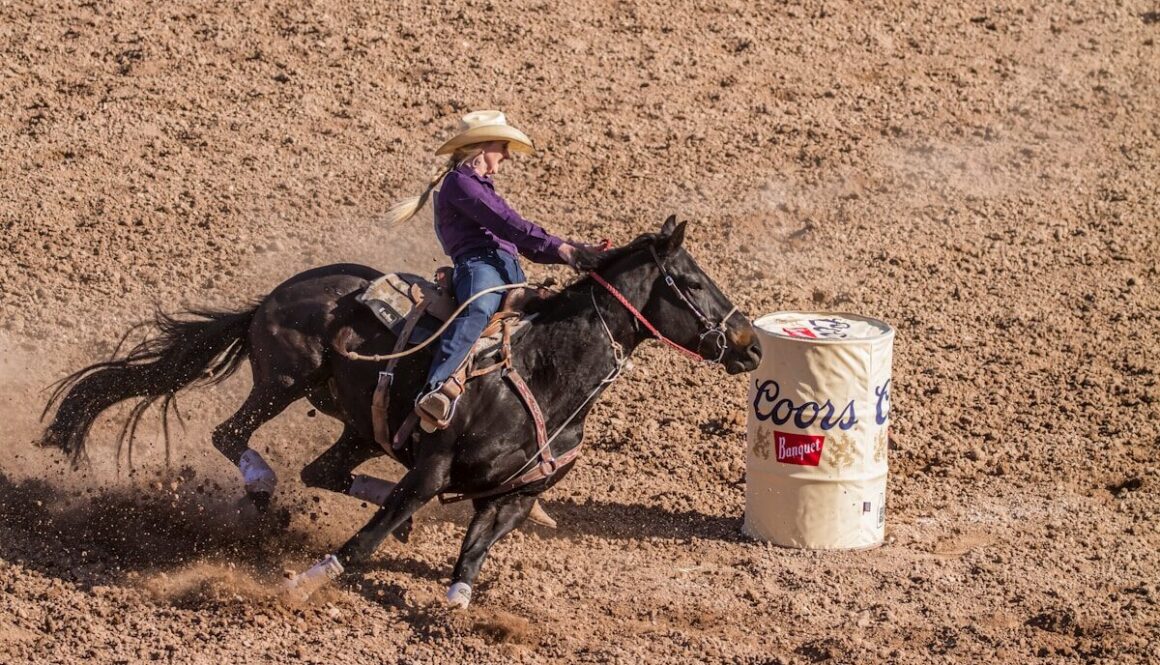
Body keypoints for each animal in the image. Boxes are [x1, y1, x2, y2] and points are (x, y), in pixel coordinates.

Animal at [39, 216, 762, 607]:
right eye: (690, 282)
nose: (751, 343)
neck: (546, 369)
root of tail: (275, 295)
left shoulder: (513, 496)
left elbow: (471, 558)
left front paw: (458, 605)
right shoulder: (432, 468)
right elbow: (365, 543)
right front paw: (305, 583)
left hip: (358, 424)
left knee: (324, 471)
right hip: (285, 379)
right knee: (232, 435)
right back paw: (263, 485)